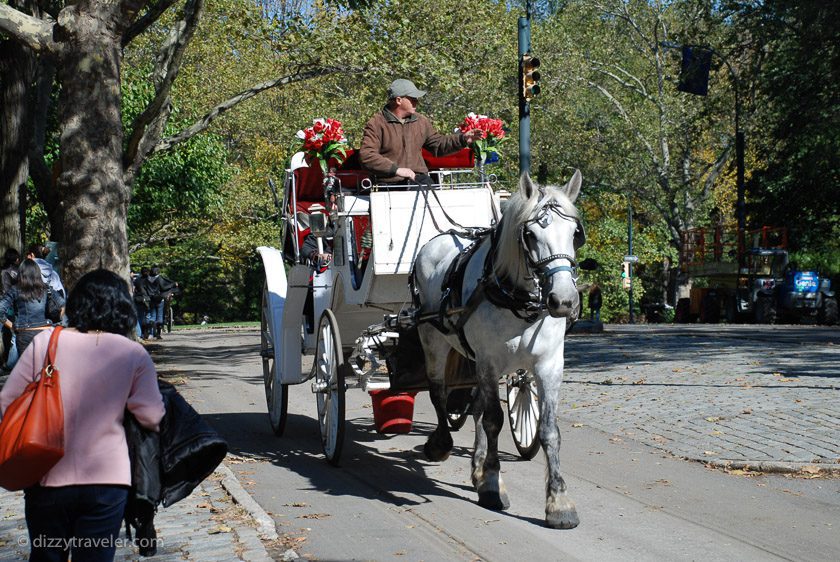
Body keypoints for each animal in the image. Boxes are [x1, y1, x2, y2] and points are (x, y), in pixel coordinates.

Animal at [412, 171, 584, 524]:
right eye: (530, 234)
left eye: (575, 234)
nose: (564, 300)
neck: (517, 301)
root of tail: (439, 238)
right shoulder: (489, 362)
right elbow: (493, 420)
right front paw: (492, 484)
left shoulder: (549, 365)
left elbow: (549, 430)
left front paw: (559, 502)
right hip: (432, 338)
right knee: (439, 392)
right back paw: (441, 443)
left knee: (476, 404)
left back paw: (476, 465)